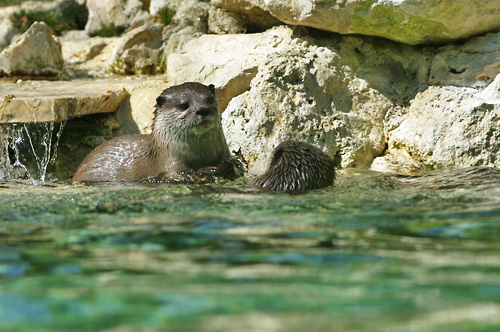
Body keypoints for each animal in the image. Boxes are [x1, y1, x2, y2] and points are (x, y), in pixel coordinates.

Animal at [72, 82, 232, 182]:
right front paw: (197, 176)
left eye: (209, 99)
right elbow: (174, 174)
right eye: (183, 105)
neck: (200, 156)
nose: (203, 110)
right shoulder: (167, 160)